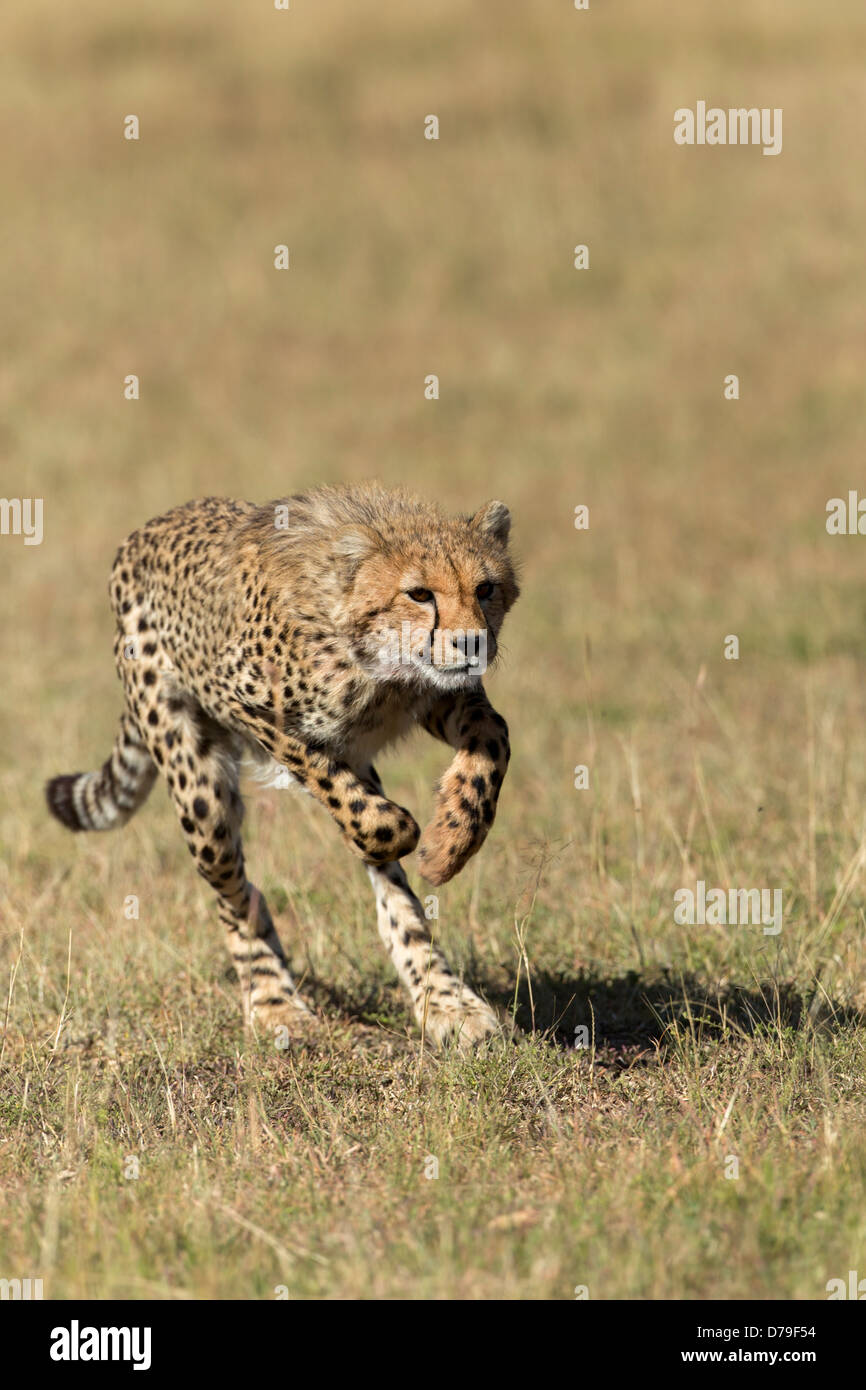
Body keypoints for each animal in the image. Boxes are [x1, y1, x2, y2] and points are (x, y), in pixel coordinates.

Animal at [45, 486, 522, 1045]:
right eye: (419, 593)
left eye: (485, 588)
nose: (473, 642)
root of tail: (151, 527)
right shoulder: (246, 705)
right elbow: (362, 808)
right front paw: (406, 835)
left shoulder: (440, 694)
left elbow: (494, 740)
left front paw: (450, 844)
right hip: (198, 788)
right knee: (237, 889)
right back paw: (275, 1003)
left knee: (392, 906)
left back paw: (445, 1001)